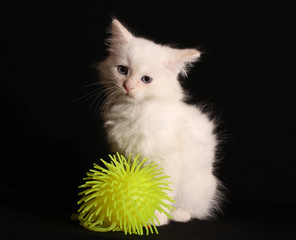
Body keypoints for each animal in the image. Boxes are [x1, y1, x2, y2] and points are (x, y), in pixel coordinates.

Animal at [98, 18, 223, 225]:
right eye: (123, 70)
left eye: (146, 79)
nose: (128, 86)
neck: (137, 110)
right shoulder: (127, 156)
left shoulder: (166, 162)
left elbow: (162, 191)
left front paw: (156, 218)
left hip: (198, 186)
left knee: (195, 209)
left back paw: (179, 214)